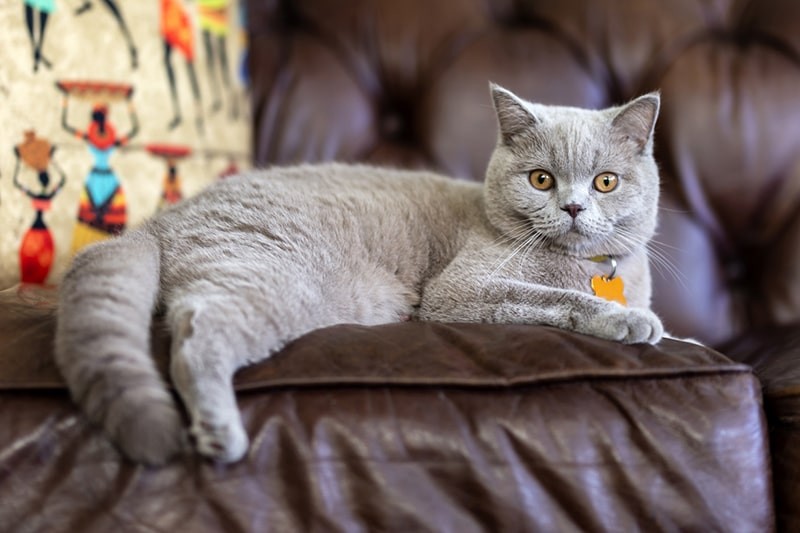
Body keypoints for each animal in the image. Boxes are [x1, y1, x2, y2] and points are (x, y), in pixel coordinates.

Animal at [51, 83, 664, 466]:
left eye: (605, 182)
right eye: (541, 179)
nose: (574, 207)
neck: (586, 265)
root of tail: (162, 220)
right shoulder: (461, 290)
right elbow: (549, 297)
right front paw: (630, 320)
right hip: (284, 281)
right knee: (200, 336)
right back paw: (221, 433)